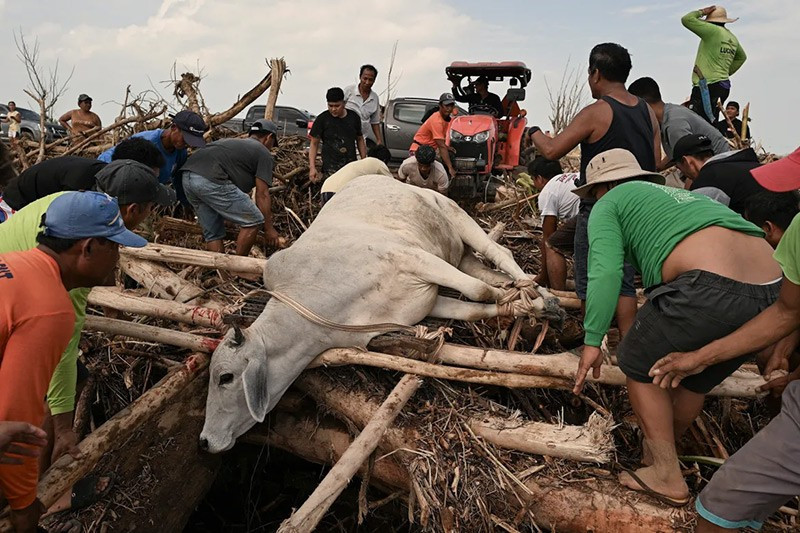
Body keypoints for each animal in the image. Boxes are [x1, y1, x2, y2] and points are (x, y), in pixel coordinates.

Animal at [200, 177, 564, 450]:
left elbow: (478, 291)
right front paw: (521, 306)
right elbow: (478, 304)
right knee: (488, 272)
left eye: (225, 377)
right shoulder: (425, 302)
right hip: (456, 253)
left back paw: (544, 297)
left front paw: (532, 304)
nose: (204, 441)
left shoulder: (413, 258)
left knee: (498, 253)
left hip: (454, 213)